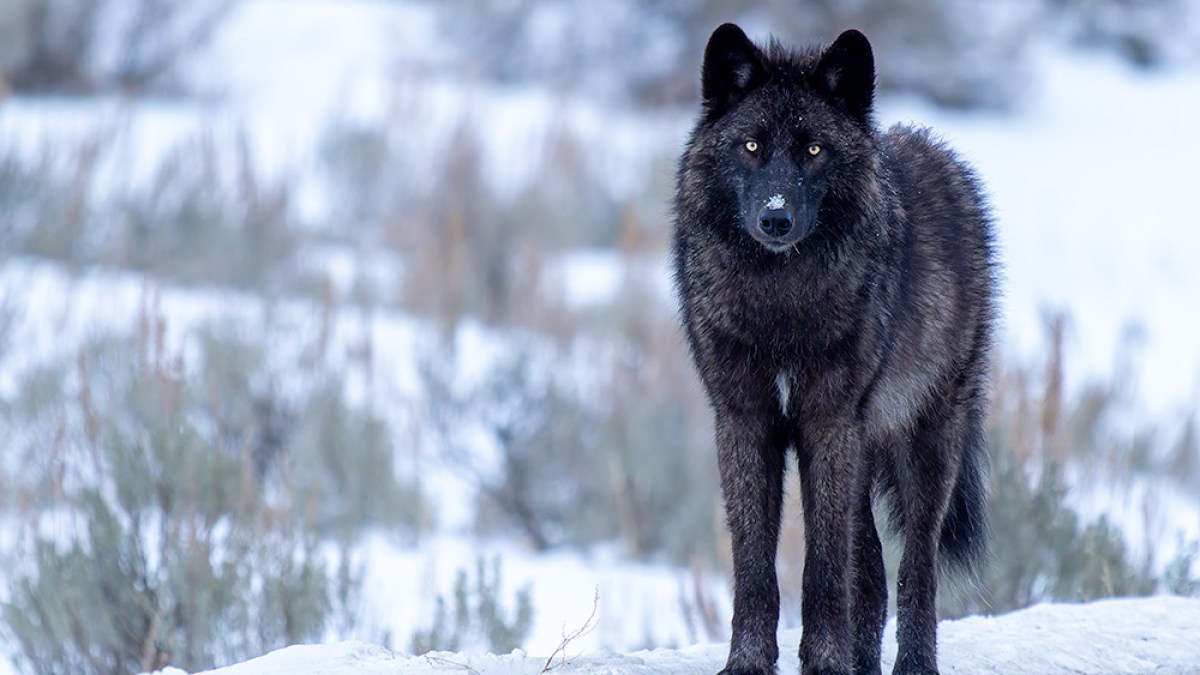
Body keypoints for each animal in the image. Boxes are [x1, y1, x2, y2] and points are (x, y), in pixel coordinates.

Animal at [672, 24, 996, 675]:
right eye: (751, 146)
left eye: (815, 151)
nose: (775, 219)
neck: (779, 304)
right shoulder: (745, 420)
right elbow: (754, 563)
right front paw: (749, 661)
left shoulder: (827, 423)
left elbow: (824, 565)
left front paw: (823, 660)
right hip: (865, 450)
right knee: (869, 572)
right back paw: (862, 660)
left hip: (926, 442)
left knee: (915, 566)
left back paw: (913, 663)